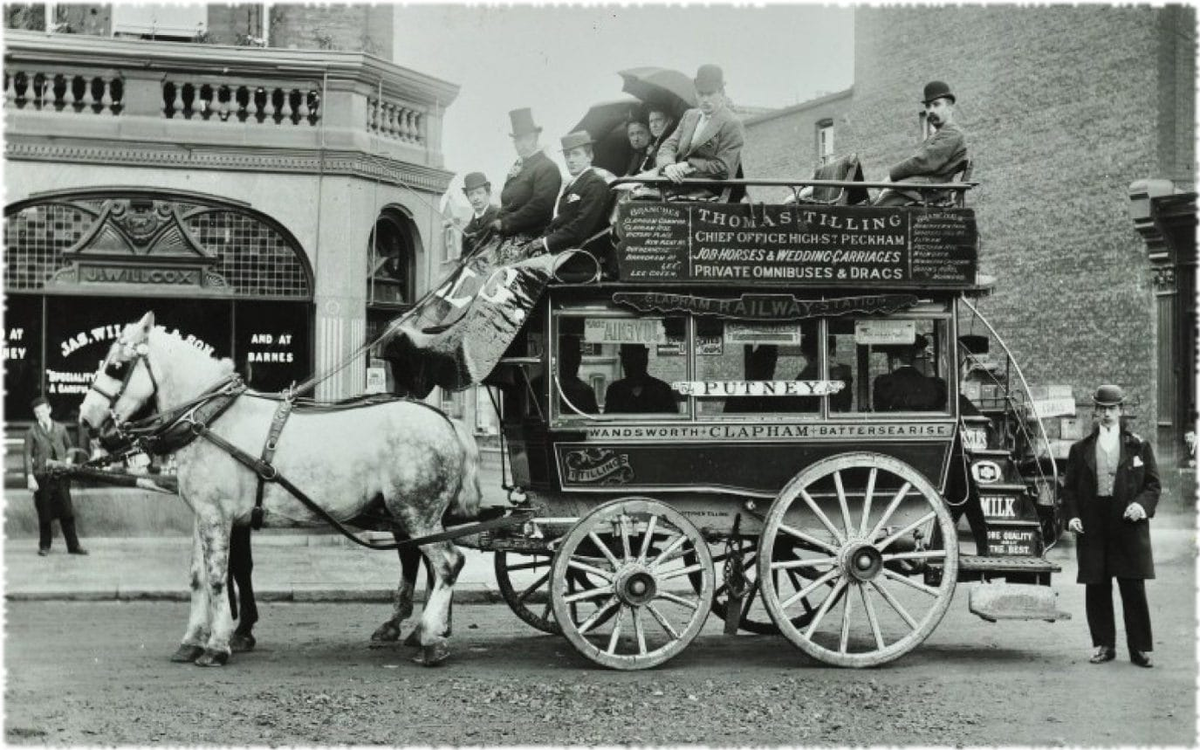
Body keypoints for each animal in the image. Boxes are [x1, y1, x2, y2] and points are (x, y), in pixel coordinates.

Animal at [77, 312, 482, 662]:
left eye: (116, 366)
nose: (85, 419)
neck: (212, 419)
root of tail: (448, 423)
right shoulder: (203, 514)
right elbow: (197, 577)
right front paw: (192, 640)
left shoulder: (217, 515)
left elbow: (218, 577)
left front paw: (218, 645)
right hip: (410, 514)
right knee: (428, 563)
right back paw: (423, 630)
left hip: (415, 511)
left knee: (447, 563)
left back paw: (431, 638)